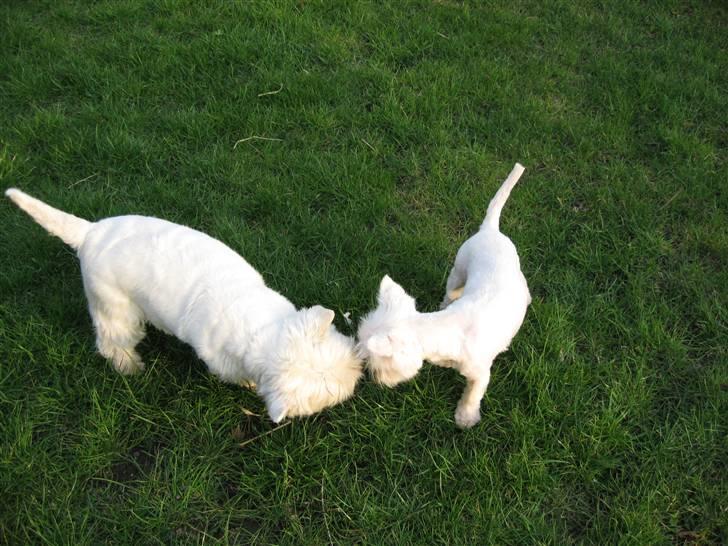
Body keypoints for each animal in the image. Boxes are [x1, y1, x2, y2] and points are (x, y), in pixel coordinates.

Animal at [2, 189, 362, 422]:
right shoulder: (223, 360)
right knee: (111, 341)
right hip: (113, 306)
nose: (358, 377)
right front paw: (249, 384)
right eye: (334, 390)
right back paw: (130, 367)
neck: (259, 326)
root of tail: (90, 233)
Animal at [356, 164, 528, 428]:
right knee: (451, 291)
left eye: (373, 360)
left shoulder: (480, 373)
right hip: (458, 271)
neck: (445, 330)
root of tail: (490, 229)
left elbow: (472, 395)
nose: (371, 376)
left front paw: (465, 417)